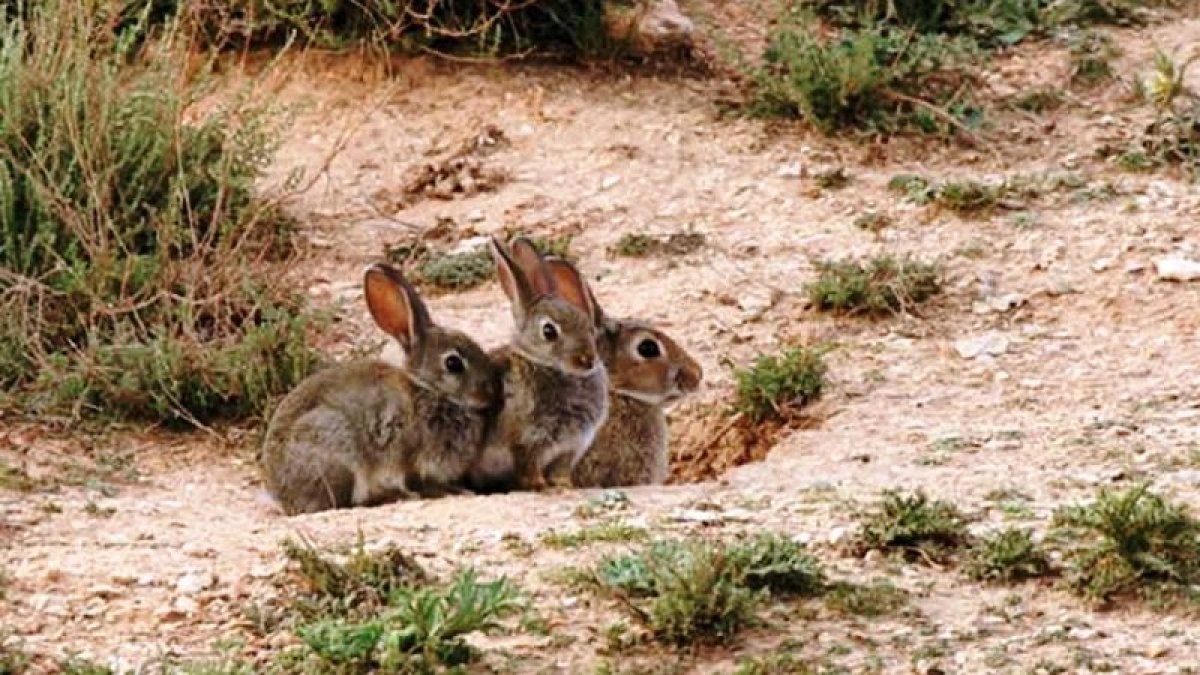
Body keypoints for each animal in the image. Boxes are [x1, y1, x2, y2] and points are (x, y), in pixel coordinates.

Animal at [262, 260, 501, 511]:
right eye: (453, 363)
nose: (491, 391)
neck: (429, 389)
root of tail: (282, 496)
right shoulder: (411, 456)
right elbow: (419, 482)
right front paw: (457, 492)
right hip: (340, 449)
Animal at [460, 235, 604, 487]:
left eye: (590, 328)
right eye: (549, 331)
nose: (587, 360)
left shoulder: (571, 447)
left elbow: (560, 471)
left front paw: (565, 486)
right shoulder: (528, 440)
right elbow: (529, 465)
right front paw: (540, 486)